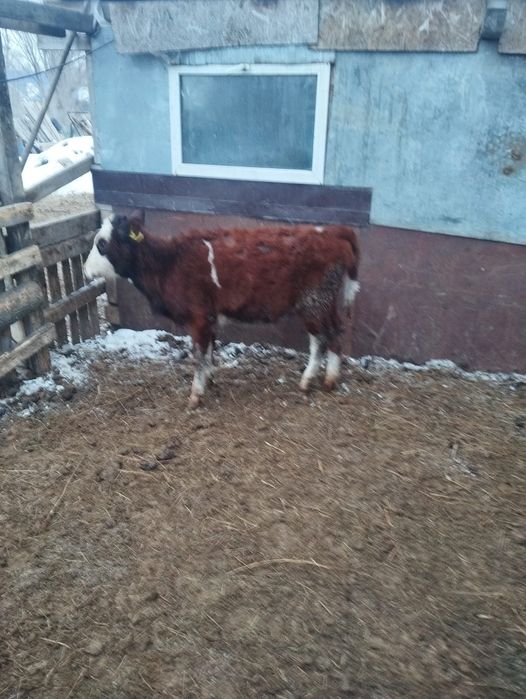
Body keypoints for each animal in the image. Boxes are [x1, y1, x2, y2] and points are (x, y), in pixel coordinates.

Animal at [84, 210, 360, 408]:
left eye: (102, 243)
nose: (85, 270)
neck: (169, 262)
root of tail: (333, 230)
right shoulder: (209, 317)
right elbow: (208, 352)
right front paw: (209, 380)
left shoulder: (197, 318)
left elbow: (198, 354)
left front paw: (195, 395)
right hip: (318, 303)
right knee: (329, 334)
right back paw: (319, 380)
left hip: (314, 302)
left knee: (325, 337)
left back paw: (320, 380)